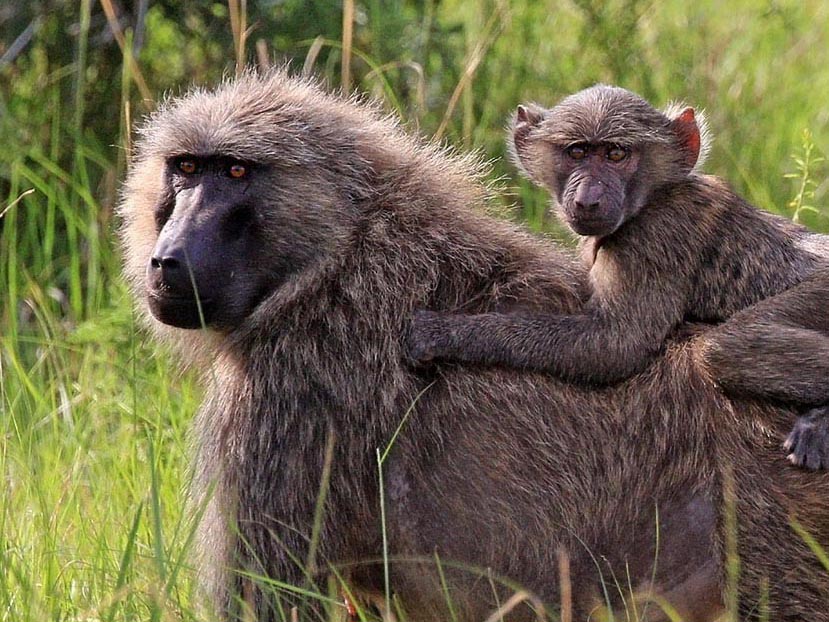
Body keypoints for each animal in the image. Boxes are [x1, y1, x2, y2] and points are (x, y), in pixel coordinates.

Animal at [406, 84, 829, 469]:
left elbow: (614, 346)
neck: (654, 196)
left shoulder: (654, 238)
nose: (588, 200)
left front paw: (442, 332)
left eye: (616, 154)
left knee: (726, 348)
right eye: (577, 152)